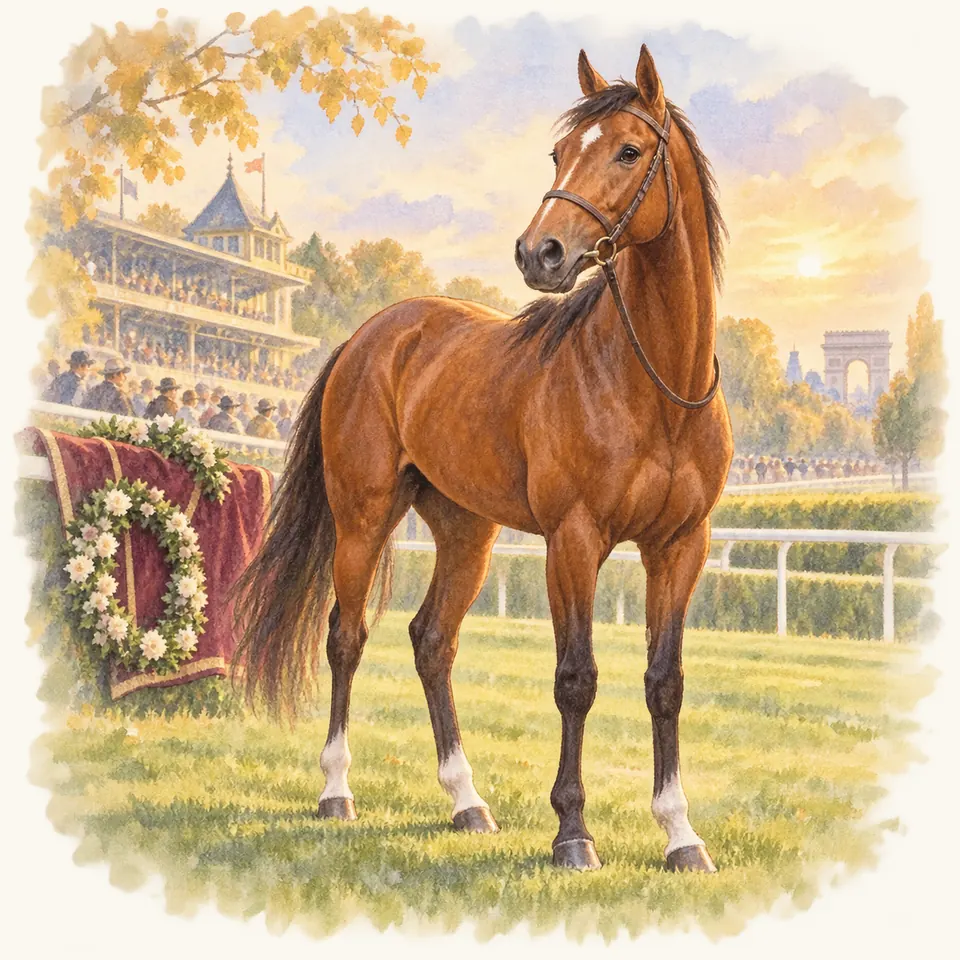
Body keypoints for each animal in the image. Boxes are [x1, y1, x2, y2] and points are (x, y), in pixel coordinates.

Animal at [234, 44, 734, 873]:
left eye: (629, 151)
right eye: (560, 153)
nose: (541, 252)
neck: (658, 385)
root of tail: (372, 334)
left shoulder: (679, 547)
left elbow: (665, 682)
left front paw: (680, 834)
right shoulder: (573, 541)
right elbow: (576, 680)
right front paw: (573, 834)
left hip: (467, 532)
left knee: (432, 642)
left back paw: (466, 801)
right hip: (362, 518)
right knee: (346, 637)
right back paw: (337, 791)